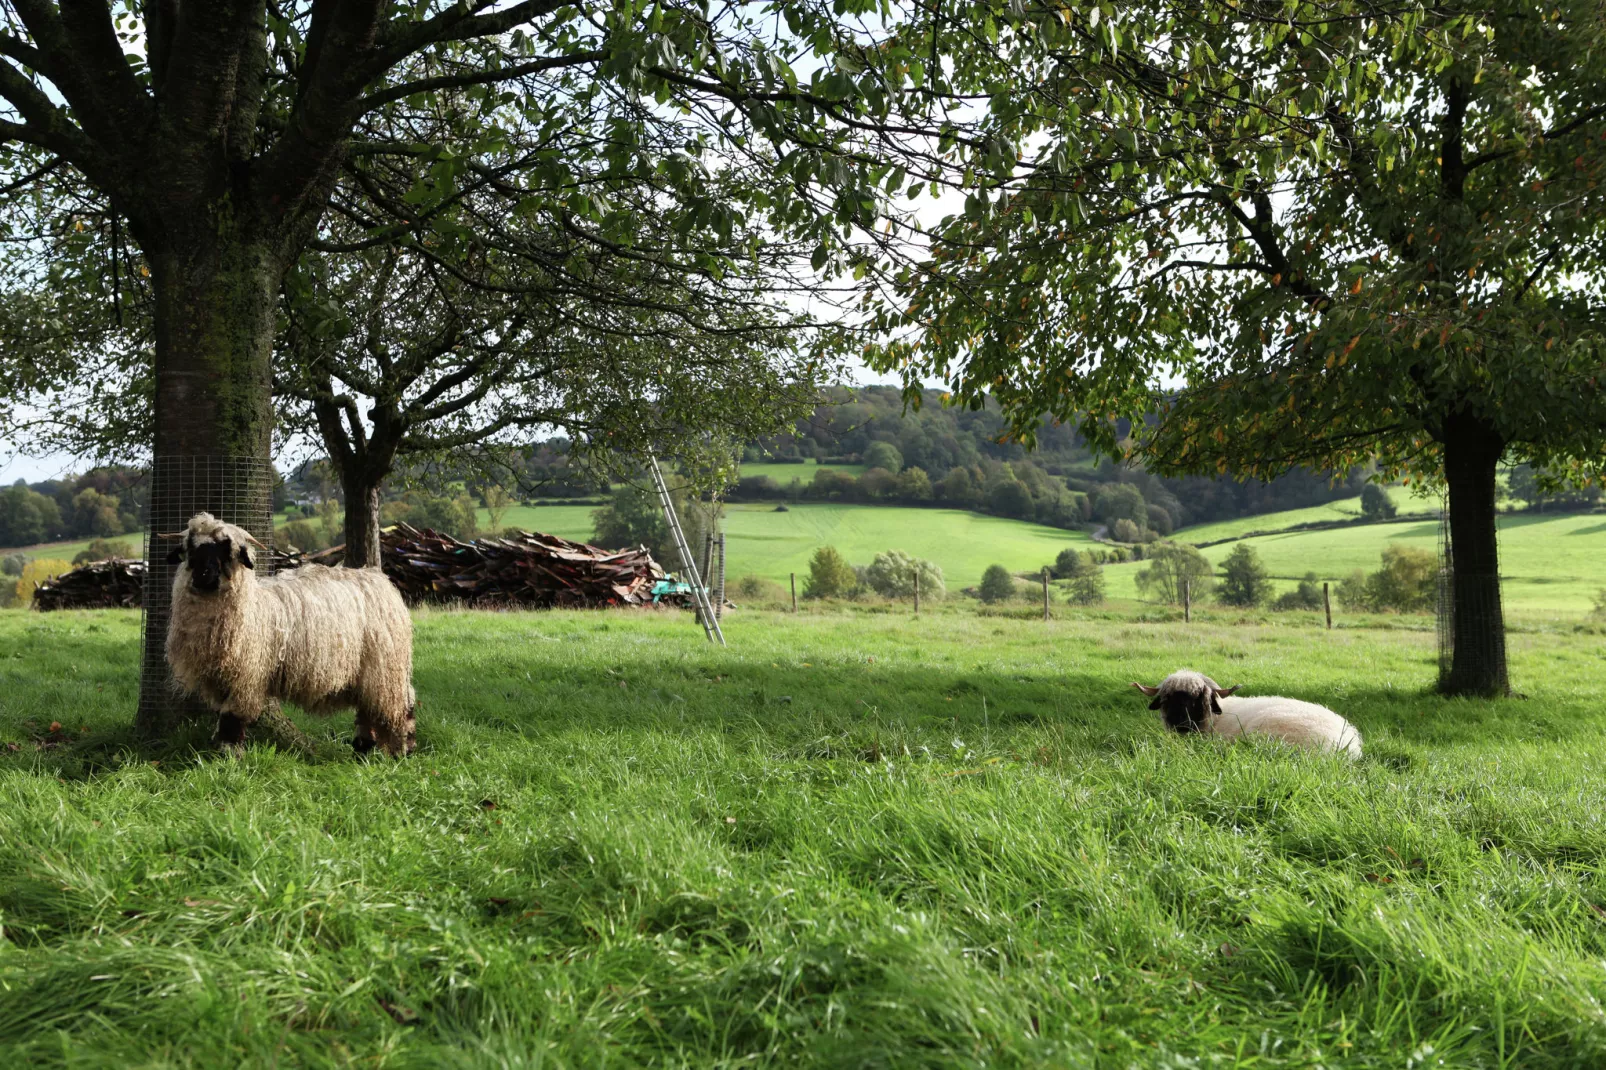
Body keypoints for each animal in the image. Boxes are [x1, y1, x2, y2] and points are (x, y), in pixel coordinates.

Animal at [161, 514, 414, 755]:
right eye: (190, 548)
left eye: (226, 549)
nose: (204, 575)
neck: (253, 608)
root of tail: (380, 579)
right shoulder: (218, 680)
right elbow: (222, 716)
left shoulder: (247, 677)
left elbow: (232, 718)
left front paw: (229, 755)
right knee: (367, 708)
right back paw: (362, 749)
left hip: (385, 666)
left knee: (400, 703)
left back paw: (402, 750)